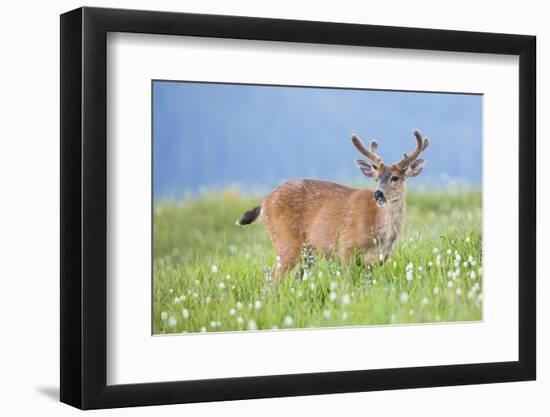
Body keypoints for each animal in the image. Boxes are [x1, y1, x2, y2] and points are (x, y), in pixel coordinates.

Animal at [237, 128, 432, 282]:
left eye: (395, 177)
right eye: (377, 178)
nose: (378, 194)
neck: (380, 233)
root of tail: (264, 202)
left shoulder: (379, 260)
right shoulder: (346, 247)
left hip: (308, 252)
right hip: (286, 240)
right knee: (273, 278)